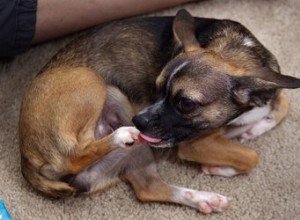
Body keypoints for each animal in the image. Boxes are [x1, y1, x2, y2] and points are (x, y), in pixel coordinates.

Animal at [18, 9, 300, 214]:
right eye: (156, 88)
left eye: (186, 104)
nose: (139, 119)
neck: (234, 51)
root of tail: (26, 156)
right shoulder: (193, 145)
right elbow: (251, 156)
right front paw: (222, 167)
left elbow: (282, 104)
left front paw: (252, 129)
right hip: (91, 81)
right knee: (75, 154)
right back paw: (121, 135)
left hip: (136, 149)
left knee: (148, 188)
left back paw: (204, 199)